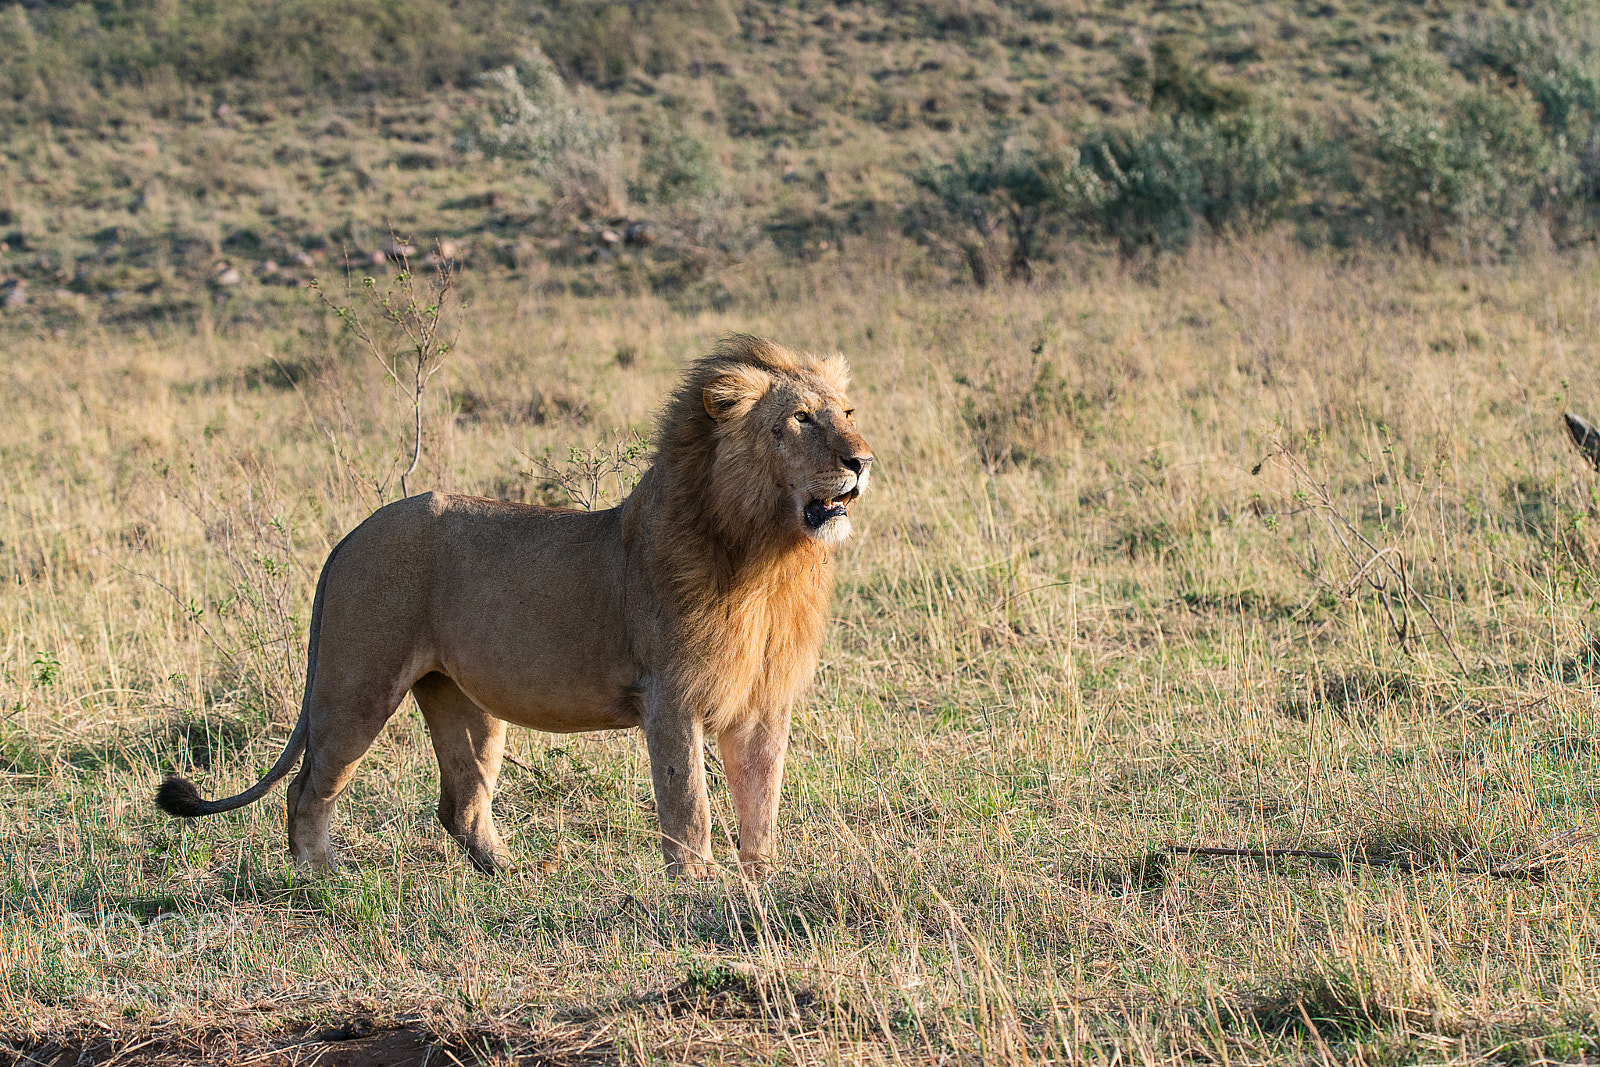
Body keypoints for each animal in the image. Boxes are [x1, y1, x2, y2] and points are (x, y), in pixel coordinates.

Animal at [156, 334, 872, 877]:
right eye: (800, 419)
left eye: (847, 411)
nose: (862, 460)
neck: (768, 558)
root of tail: (348, 538)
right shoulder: (670, 695)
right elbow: (688, 806)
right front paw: (696, 887)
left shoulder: (763, 702)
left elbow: (761, 801)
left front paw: (761, 881)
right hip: (356, 685)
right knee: (308, 789)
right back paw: (323, 879)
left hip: (458, 698)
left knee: (460, 803)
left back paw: (515, 874)